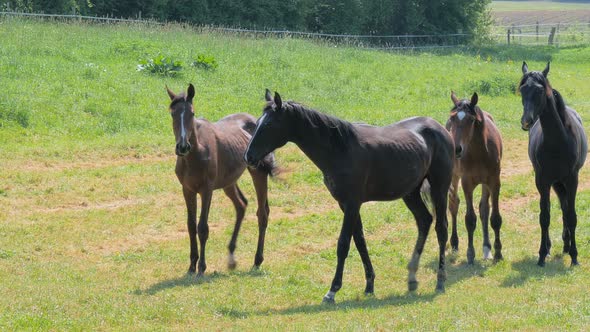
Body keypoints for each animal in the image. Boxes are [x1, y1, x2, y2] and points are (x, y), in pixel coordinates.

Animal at [165, 84, 278, 276]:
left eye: (192, 113)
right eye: (173, 113)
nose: (183, 146)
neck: (195, 155)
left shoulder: (206, 190)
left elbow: (202, 228)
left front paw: (202, 267)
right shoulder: (187, 190)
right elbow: (190, 225)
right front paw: (191, 265)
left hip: (257, 172)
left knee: (262, 213)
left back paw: (257, 260)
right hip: (229, 182)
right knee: (241, 205)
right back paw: (231, 257)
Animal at [243, 89, 456, 302]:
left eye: (269, 124)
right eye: (257, 122)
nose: (248, 157)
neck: (340, 149)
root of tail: (440, 129)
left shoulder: (352, 204)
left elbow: (343, 244)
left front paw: (332, 290)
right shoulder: (345, 204)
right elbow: (360, 240)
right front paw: (369, 285)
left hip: (439, 189)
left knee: (441, 228)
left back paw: (440, 281)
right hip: (410, 193)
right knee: (424, 221)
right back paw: (412, 278)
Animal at [446, 91, 506, 264]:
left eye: (471, 120)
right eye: (453, 118)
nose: (457, 149)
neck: (480, 152)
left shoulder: (494, 181)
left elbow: (494, 218)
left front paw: (498, 253)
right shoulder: (467, 183)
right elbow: (470, 219)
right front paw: (470, 254)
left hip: (485, 183)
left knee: (484, 209)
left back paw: (487, 249)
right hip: (454, 176)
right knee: (453, 204)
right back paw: (454, 243)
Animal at [524, 61, 588, 266]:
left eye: (539, 90)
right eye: (522, 89)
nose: (526, 121)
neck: (558, 140)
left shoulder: (572, 179)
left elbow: (572, 216)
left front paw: (574, 256)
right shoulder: (543, 180)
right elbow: (544, 216)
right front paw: (542, 254)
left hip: (562, 182)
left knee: (565, 208)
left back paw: (567, 246)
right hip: (554, 183)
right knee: (555, 207)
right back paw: (552, 246)